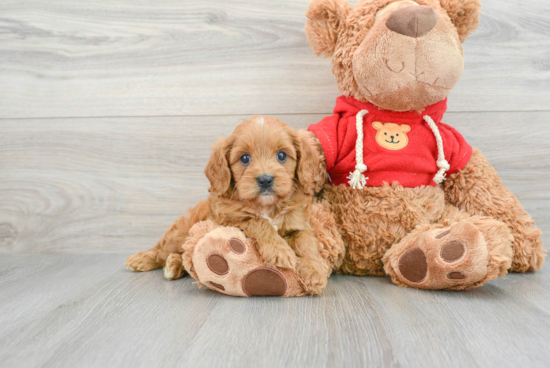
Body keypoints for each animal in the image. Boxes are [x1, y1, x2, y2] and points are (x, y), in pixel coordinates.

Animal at [126, 116, 332, 294]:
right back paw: (142, 259)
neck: (266, 206)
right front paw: (280, 251)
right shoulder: (229, 219)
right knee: (162, 250)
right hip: (180, 233)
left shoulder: (299, 224)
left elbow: (307, 242)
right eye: (245, 158)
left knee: (183, 255)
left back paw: (174, 265)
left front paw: (314, 273)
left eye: (282, 155)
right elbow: (258, 222)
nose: (265, 180)